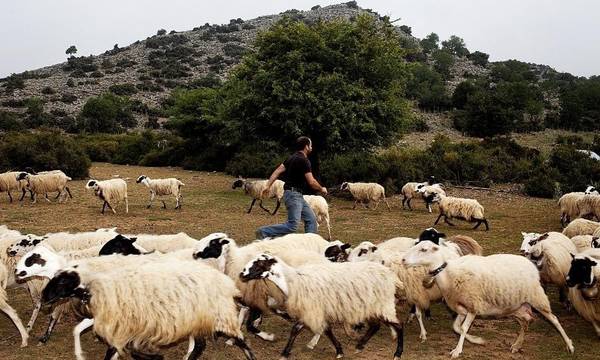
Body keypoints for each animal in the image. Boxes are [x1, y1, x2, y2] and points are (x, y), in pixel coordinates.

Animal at [41, 258, 256, 360]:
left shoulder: (124, 327)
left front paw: (155, 356)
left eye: (62, 283)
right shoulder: (123, 328)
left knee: (240, 339)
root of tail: (226, 283)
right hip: (198, 319)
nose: (43, 297)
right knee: (201, 345)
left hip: (219, 316)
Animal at [239, 253, 404, 360]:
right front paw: (339, 350)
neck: (293, 281)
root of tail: (389, 274)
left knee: (398, 326)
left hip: (382, 305)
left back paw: (397, 353)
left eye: (260, 263)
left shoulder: (312, 309)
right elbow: (326, 330)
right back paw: (360, 346)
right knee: (376, 326)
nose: (241, 274)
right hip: (372, 307)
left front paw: (284, 354)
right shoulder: (315, 310)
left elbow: (296, 330)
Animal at [400, 242, 576, 358]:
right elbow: (456, 327)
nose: (403, 260)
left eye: (423, 249)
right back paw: (517, 345)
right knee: (526, 322)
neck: (448, 274)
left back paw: (569, 344)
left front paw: (458, 350)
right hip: (516, 307)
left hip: (537, 298)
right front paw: (477, 340)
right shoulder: (462, 308)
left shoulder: (473, 306)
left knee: (554, 320)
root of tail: (530, 264)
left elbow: (463, 328)